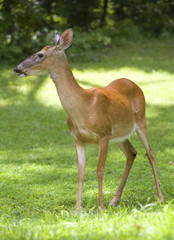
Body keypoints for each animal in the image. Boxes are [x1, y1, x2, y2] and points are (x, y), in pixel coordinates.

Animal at [14, 28, 164, 214]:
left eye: (40, 54)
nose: (17, 68)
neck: (83, 106)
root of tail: (132, 82)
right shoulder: (78, 138)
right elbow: (80, 172)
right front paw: (77, 209)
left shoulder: (103, 134)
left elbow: (99, 170)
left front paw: (101, 208)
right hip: (119, 135)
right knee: (132, 152)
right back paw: (115, 200)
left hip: (141, 121)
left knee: (150, 154)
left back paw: (160, 197)